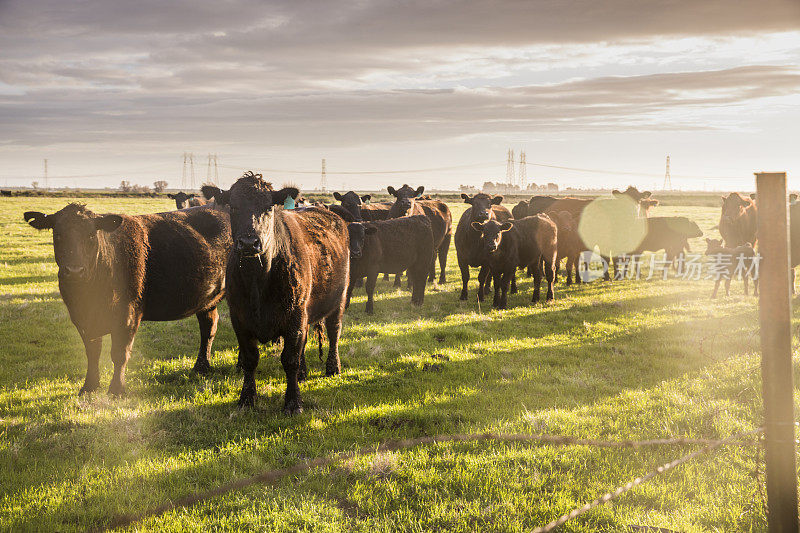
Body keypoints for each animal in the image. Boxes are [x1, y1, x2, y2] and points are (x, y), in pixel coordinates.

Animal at [24, 202, 231, 392]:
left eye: (91, 235)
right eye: (58, 235)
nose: (74, 271)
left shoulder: (128, 314)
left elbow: (119, 353)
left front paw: (116, 390)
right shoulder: (81, 318)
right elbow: (92, 352)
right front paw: (89, 386)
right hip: (207, 299)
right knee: (209, 326)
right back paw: (201, 367)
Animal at [202, 172, 348, 414]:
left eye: (269, 207)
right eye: (233, 206)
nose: (249, 242)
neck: (257, 282)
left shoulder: (295, 316)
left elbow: (289, 359)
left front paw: (293, 403)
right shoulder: (239, 318)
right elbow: (250, 360)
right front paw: (246, 399)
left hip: (339, 298)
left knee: (334, 331)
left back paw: (333, 367)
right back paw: (303, 374)